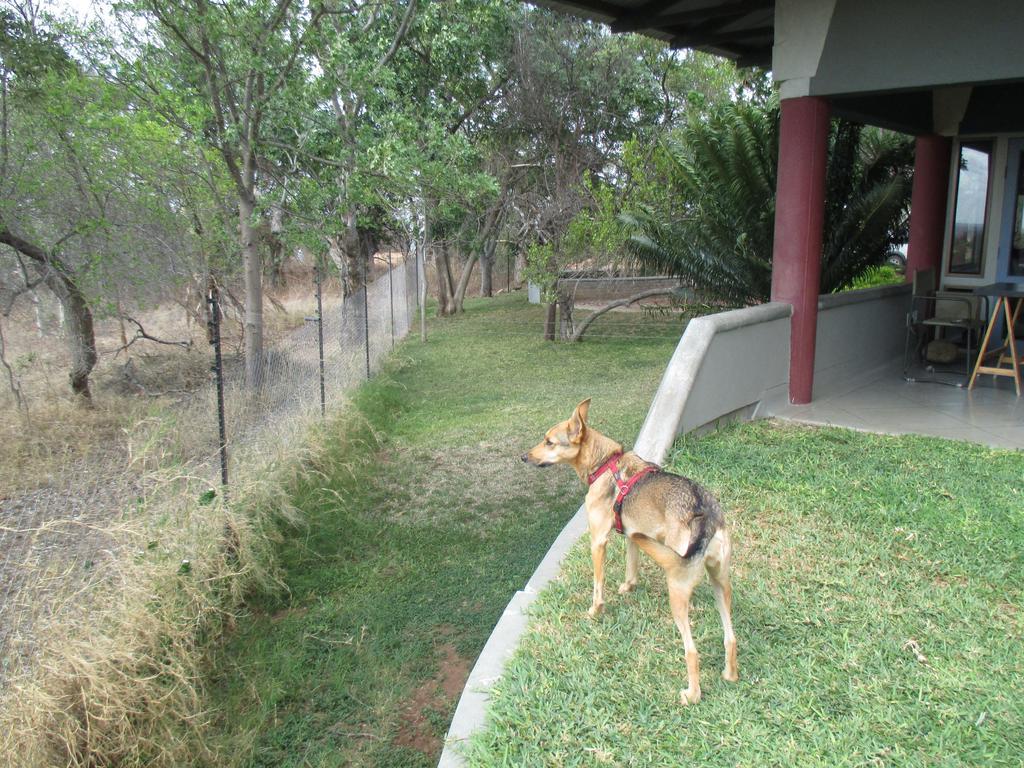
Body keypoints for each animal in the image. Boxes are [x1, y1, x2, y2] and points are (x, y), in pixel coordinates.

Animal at [520, 399, 737, 708]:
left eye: (549, 442)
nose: (523, 457)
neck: (604, 463)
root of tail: (704, 510)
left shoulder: (598, 540)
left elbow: (597, 585)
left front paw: (595, 611)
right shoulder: (633, 532)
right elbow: (631, 564)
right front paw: (627, 587)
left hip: (678, 590)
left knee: (692, 651)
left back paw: (692, 694)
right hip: (721, 583)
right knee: (730, 637)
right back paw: (730, 674)